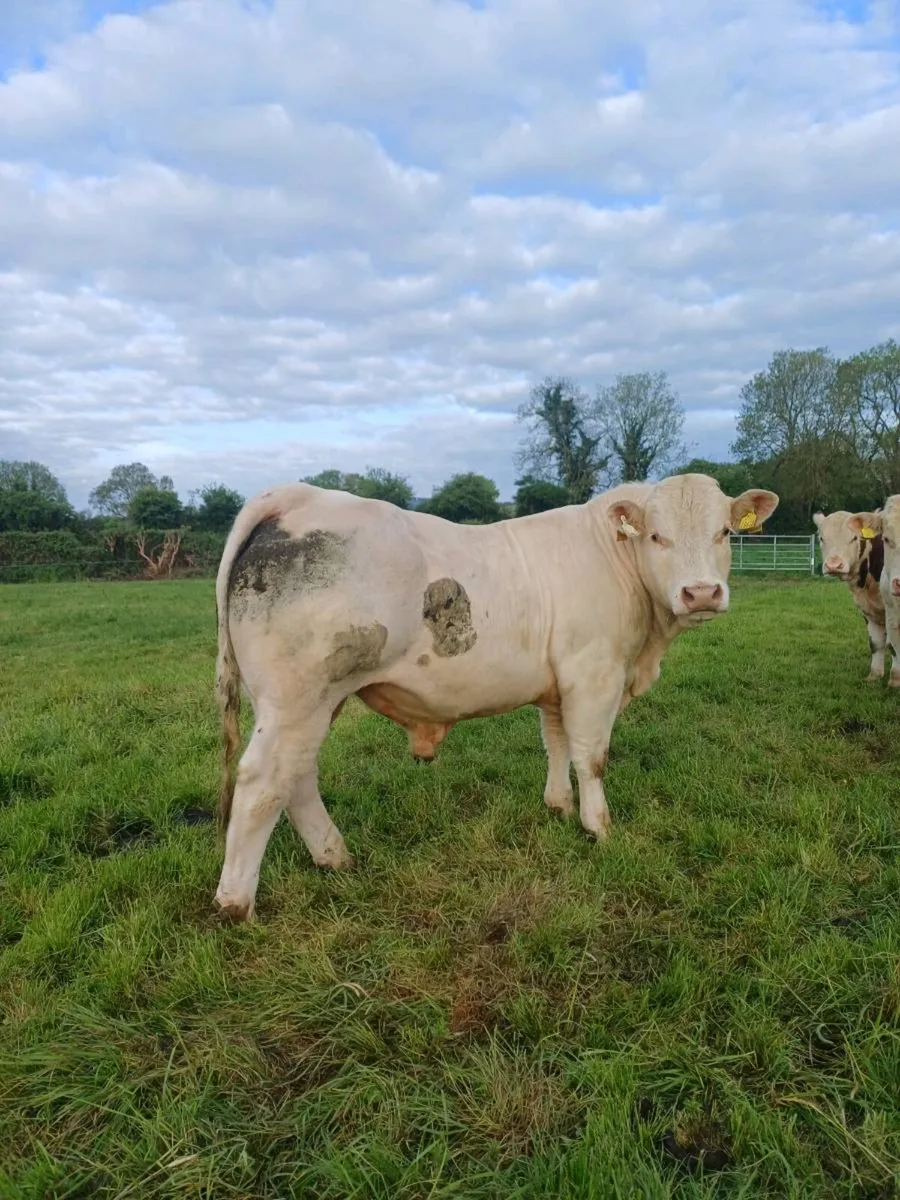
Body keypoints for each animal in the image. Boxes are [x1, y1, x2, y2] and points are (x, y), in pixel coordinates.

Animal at [213, 472, 778, 921]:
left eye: (725, 532)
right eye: (658, 536)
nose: (700, 593)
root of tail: (297, 496)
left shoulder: (557, 684)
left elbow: (556, 743)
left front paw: (558, 806)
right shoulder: (594, 674)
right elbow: (591, 756)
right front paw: (599, 827)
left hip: (305, 702)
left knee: (297, 776)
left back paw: (335, 856)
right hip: (299, 698)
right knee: (264, 781)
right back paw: (236, 903)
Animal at [813, 509, 888, 680]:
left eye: (854, 538)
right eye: (821, 538)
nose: (834, 565)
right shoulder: (868, 610)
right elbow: (876, 643)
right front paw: (874, 676)